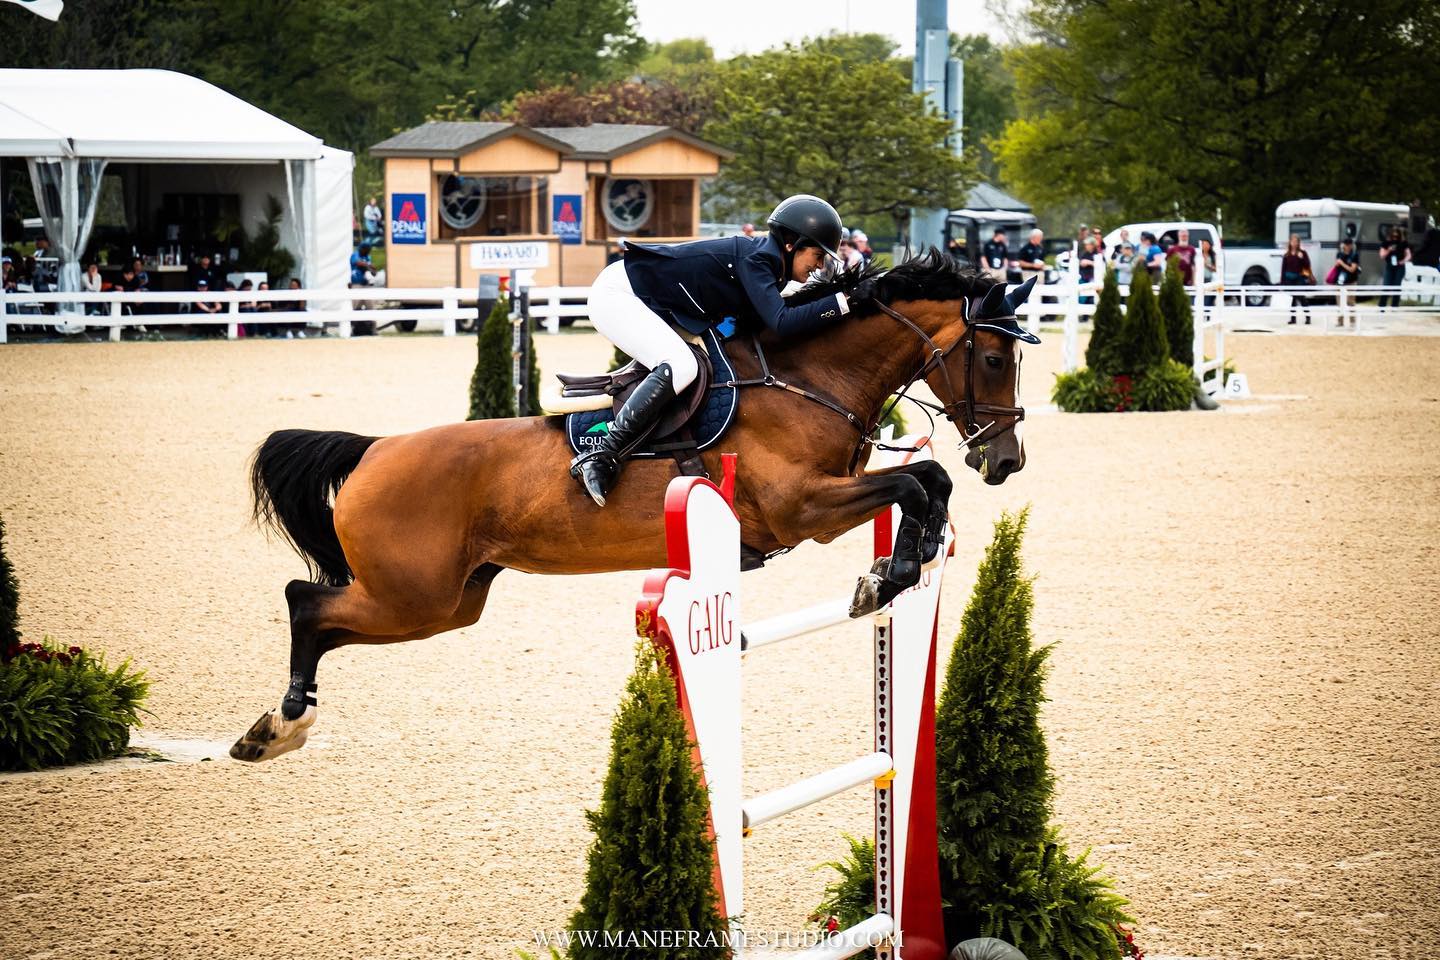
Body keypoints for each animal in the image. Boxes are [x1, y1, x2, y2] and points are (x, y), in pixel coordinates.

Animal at [230, 250, 1036, 762]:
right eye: (995, 358)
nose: (1005, 461)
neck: (811, 379)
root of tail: (372, 451)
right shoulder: (803, 510)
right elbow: (916, 481)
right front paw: (886, 576)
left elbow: (929, 480)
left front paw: (909, 559)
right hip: (413, 596)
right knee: (305, 600)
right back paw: (282, 724)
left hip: (448, 603)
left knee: (324, 615)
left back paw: (274, 727)